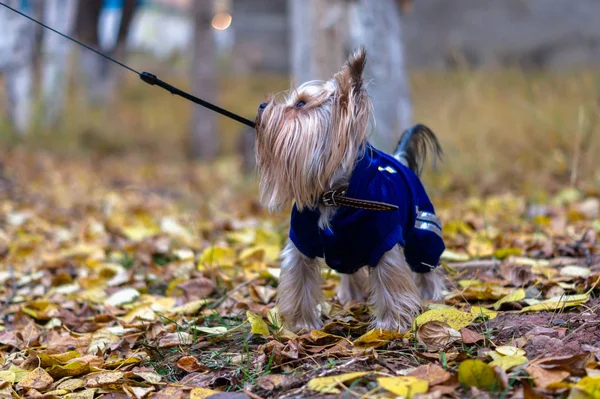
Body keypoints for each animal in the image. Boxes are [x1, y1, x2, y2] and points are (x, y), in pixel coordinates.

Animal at [253, 48, 446, 332]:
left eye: (300, 104)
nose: (262, 105)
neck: (333, 195)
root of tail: (399, 158)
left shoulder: (385, 240)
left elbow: (390, 281)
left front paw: (390, 325)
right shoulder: (301, 243)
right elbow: (299, 281)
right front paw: (301, 325)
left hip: (423, 229)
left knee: (426, 264)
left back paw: (433, 298)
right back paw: (351, 300)